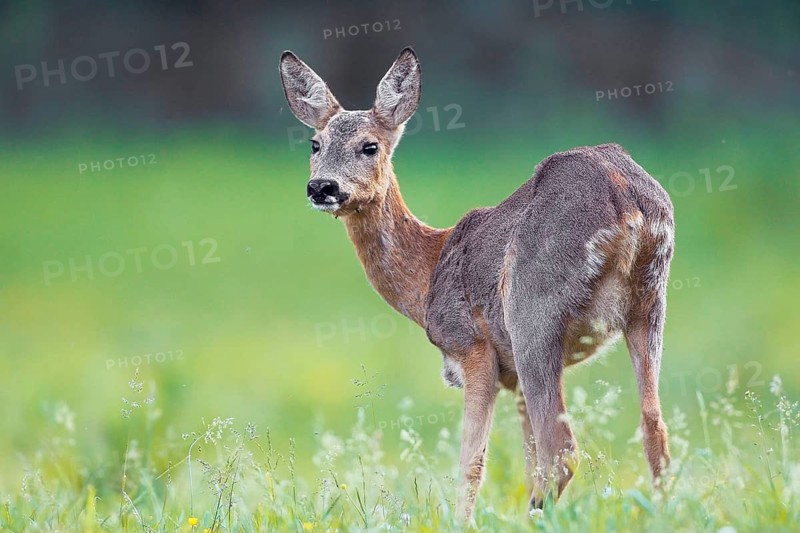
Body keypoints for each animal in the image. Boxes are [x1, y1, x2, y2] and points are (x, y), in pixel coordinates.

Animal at [279, 47, 674, 520]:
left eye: (369, 146)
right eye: (315, 144)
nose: (322, 186)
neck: (428, 273)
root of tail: (624, 198)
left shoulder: (474, 348)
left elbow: (472, 462)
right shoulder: (512, 376)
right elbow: (526, 459)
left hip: (532, 314)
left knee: (563, 448)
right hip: (649, 304)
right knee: (653, 430)